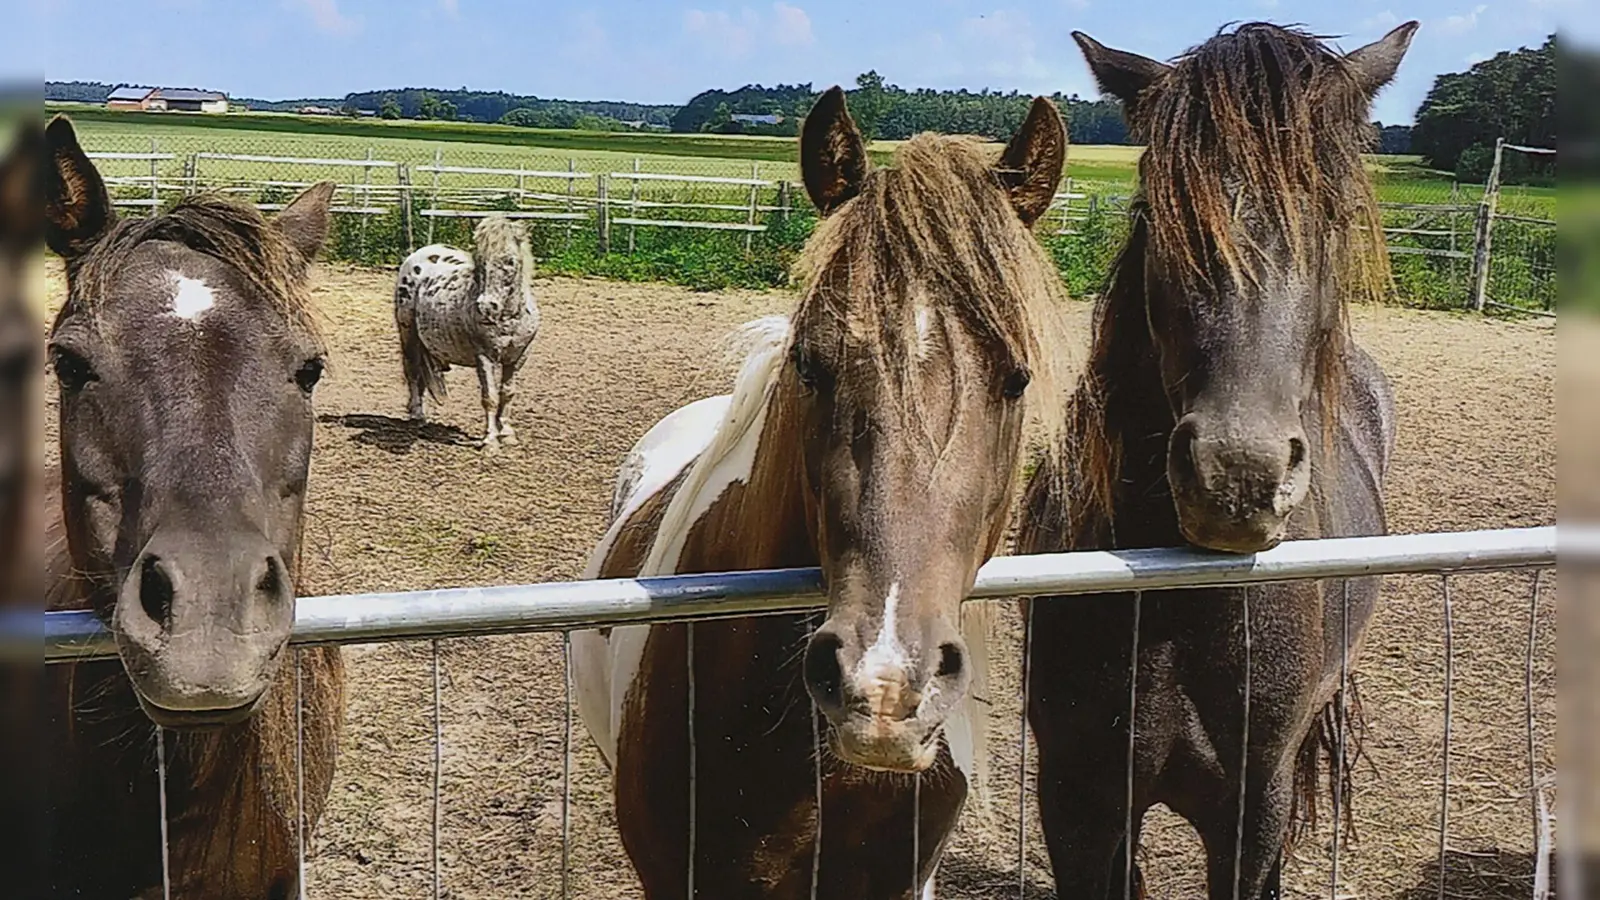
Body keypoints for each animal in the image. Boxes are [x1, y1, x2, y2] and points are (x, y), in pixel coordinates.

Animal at [395, 214, 540, 451]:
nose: (486, 306)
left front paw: (507, 434)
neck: (508, 318)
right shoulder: (485, 357)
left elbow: (507, 393)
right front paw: (490, 441)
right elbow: (490, 397)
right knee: (412, 371)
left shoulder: (518, 356)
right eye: (480, 260)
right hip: (408, 334)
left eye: (510, 261)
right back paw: (417, 414)